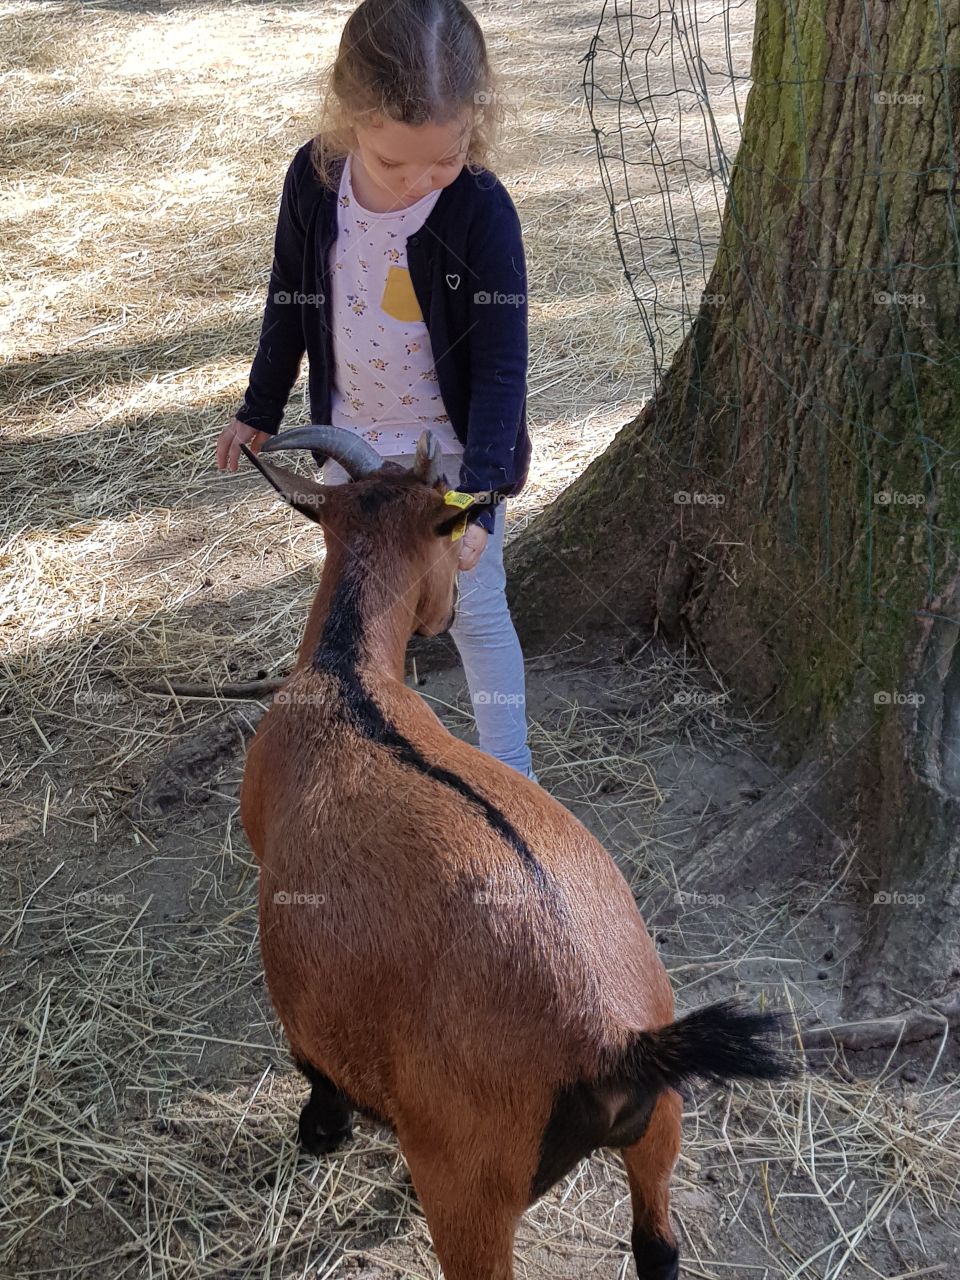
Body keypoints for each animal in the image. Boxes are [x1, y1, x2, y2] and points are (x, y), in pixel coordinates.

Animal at [239, 425, 793, 1280]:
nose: (444, 614)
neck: (343, 680)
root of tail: (612, 1040)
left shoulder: (302, 1000)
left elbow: (315, 1068)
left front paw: (319, 1132)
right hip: (661, 1125)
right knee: (657, 1245)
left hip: (471, 1180)